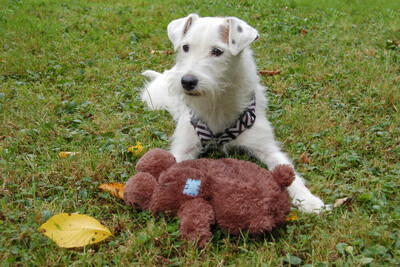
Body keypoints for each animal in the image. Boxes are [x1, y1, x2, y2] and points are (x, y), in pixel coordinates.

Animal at [141, 14, 328, 214]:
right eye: (185, 47)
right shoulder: (183, 149)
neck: (216, 102)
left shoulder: (267, 148)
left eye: (217, 51)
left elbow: (290, 174)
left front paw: (308, 200)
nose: (187, 81)